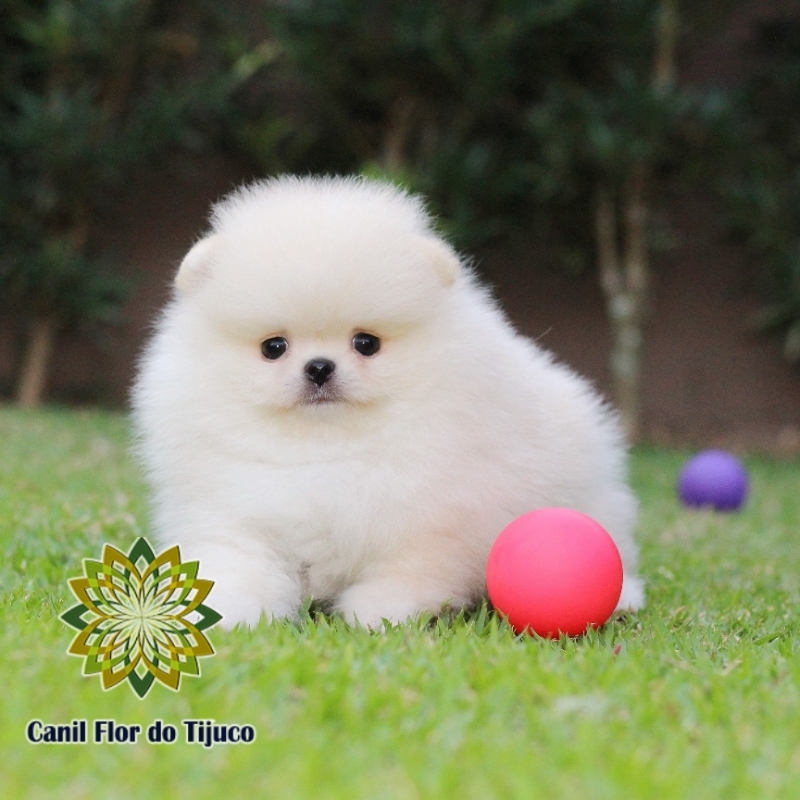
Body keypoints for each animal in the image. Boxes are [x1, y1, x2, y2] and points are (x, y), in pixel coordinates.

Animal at [131, 177, 644, 632]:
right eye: (273, 347)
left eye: (366, 343)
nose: (319, 367)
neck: (326, 452)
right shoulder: (235, 516)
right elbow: (237, 565)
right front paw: (225, 612)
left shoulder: (433, 528)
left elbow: (409, 575)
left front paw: (381, 614)